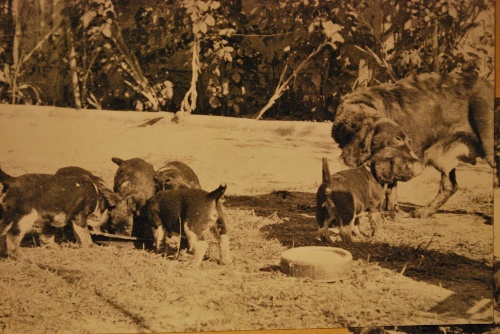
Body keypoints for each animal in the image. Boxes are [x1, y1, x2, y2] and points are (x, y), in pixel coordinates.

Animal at [332, 72, 492, 219]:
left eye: (408, 140)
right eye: (397, 139)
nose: (418, 165)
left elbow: (390, 189)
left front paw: (392, 213)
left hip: (489, 147)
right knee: (449, 187)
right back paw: (425, 212)